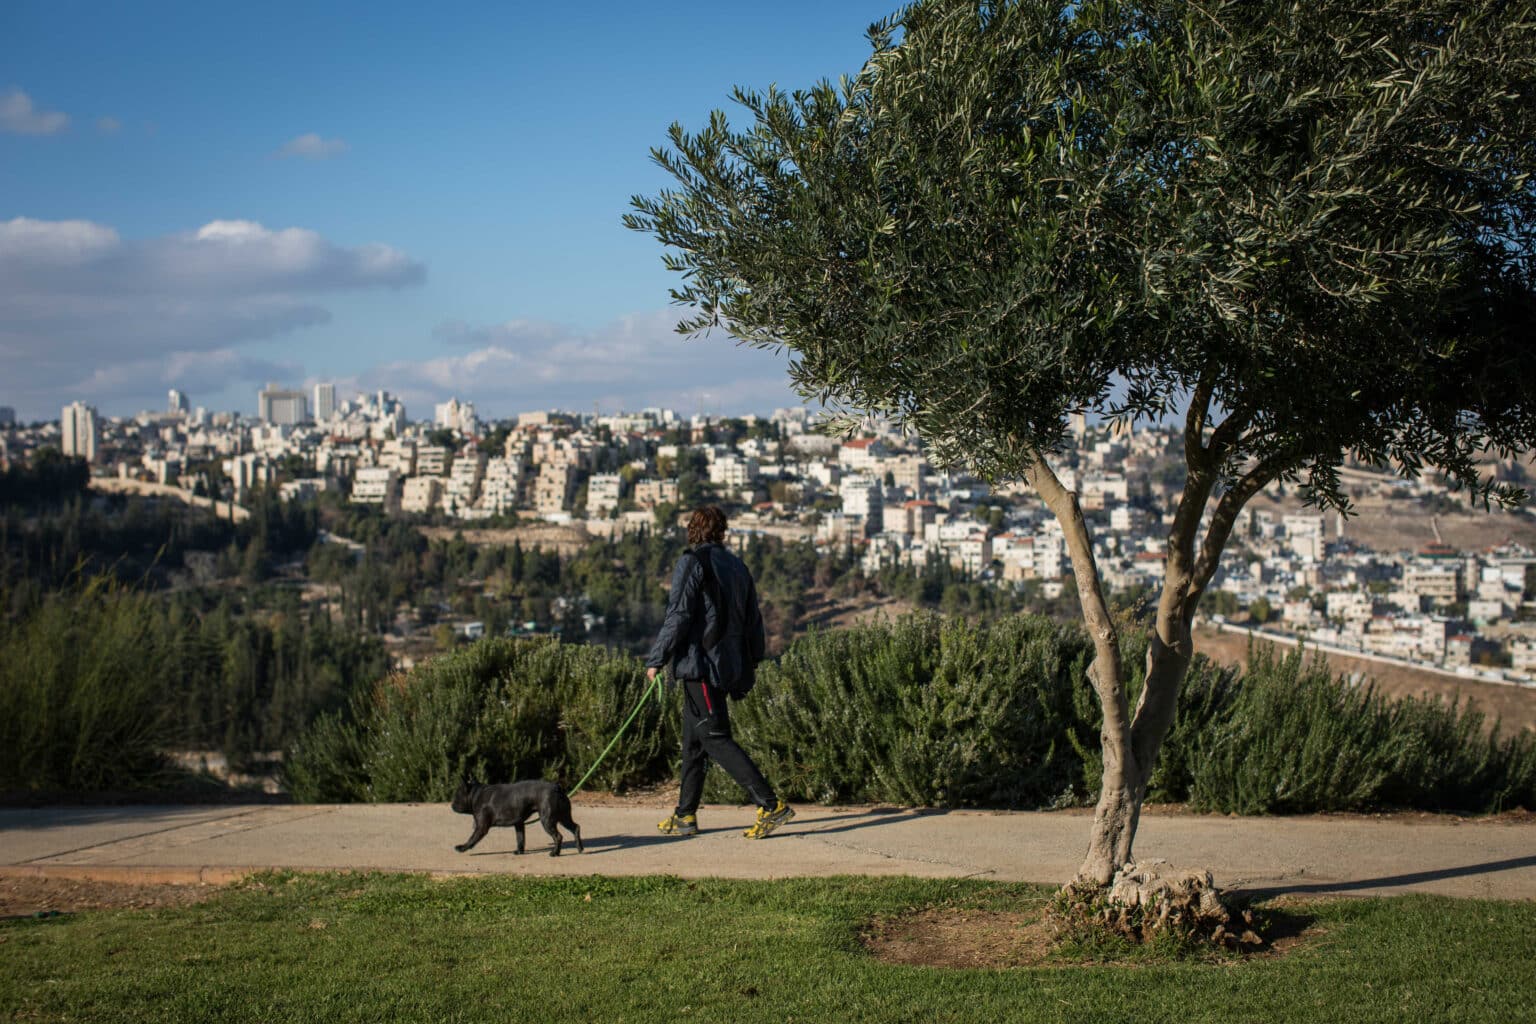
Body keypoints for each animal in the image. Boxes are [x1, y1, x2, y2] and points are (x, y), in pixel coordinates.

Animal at [451, 779, 583, 859]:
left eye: (457, 796)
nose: (452, 805)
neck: (476, 795)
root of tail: (557, 787)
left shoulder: (481, 827)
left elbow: (472, 838)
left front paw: (462, 848)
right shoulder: (519, 824)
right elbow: (520, 838)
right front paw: (519, 851)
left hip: (547, 820)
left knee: (558, 836)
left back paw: (555, 853)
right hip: (563, 817)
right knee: (575, 827)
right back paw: (579, 848)